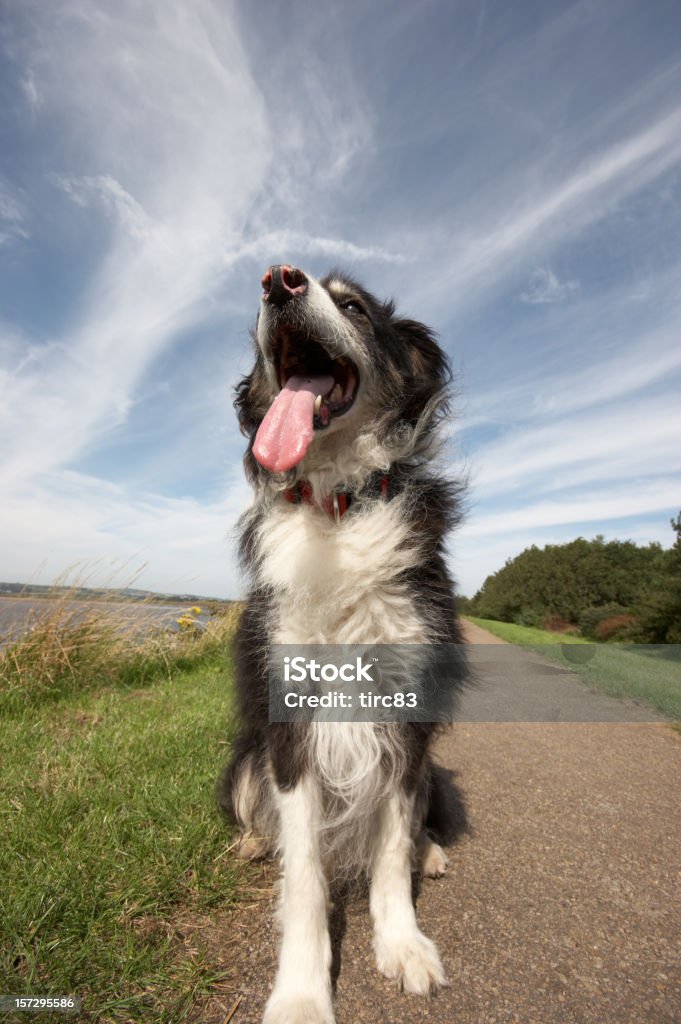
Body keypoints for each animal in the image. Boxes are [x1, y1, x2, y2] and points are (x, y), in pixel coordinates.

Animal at [218, 266, 466, 1024]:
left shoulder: (406, 717)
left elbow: (389, 846)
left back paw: (429, 854)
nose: (278, 281)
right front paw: (300, 994)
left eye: (351, 304)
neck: (337, 504)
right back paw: (250, 842)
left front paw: (404, 945)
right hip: (245, 758)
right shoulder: (290, 724)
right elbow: (303, 873)